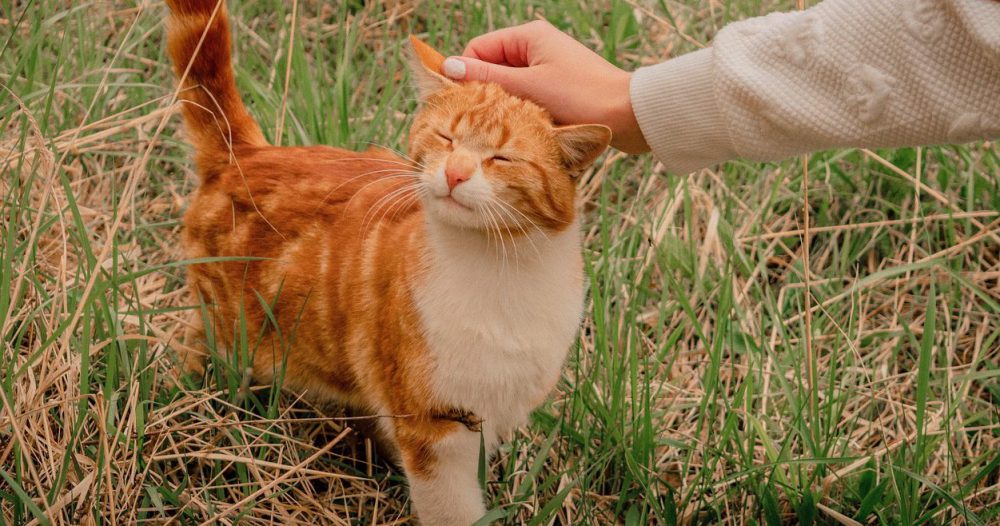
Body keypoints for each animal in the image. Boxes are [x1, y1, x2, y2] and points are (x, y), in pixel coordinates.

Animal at [166, 2, 608, 524]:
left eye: (501, 158)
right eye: (445, 137)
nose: (456, 173)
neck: (502, 270)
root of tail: (248, 153)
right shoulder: (433, 428)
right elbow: (452, 508)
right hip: (229, 335)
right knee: (197, 346)